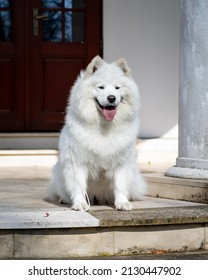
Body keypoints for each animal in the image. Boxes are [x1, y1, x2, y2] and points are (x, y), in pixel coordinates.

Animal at [47, 55, 145, 211]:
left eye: (117, 87)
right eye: (101, 87)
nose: (111, 98)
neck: (104, 127)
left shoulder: (121, 162)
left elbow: (120, 185)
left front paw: (122, 203)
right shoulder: (78, 163)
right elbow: (78, 186)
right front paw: (80, 204)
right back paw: (65, 199)